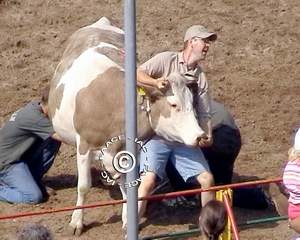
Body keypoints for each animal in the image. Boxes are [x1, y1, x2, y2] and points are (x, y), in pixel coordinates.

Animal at [48, 17, 205, 236]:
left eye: (192, 101)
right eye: (174, 104)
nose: (200, 135)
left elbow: (129, 182)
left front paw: (128, 219)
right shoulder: (84, 144)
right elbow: (84, 186)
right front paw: (77, 222)